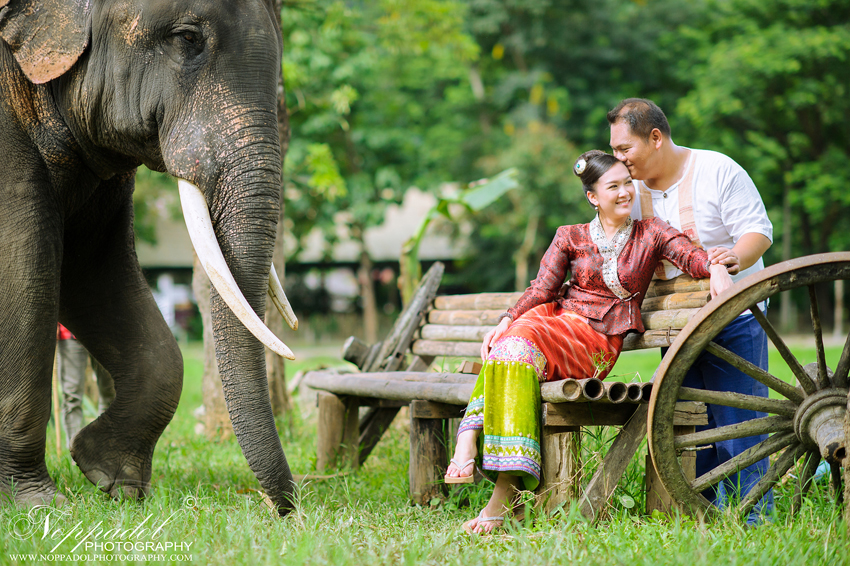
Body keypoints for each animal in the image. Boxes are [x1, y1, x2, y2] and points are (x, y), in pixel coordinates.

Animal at [0, 0, 300, 520]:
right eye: (186, 39)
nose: (287, 509)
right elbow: (24, 272)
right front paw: (36, 504)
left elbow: (93, 272)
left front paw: (113, 480)